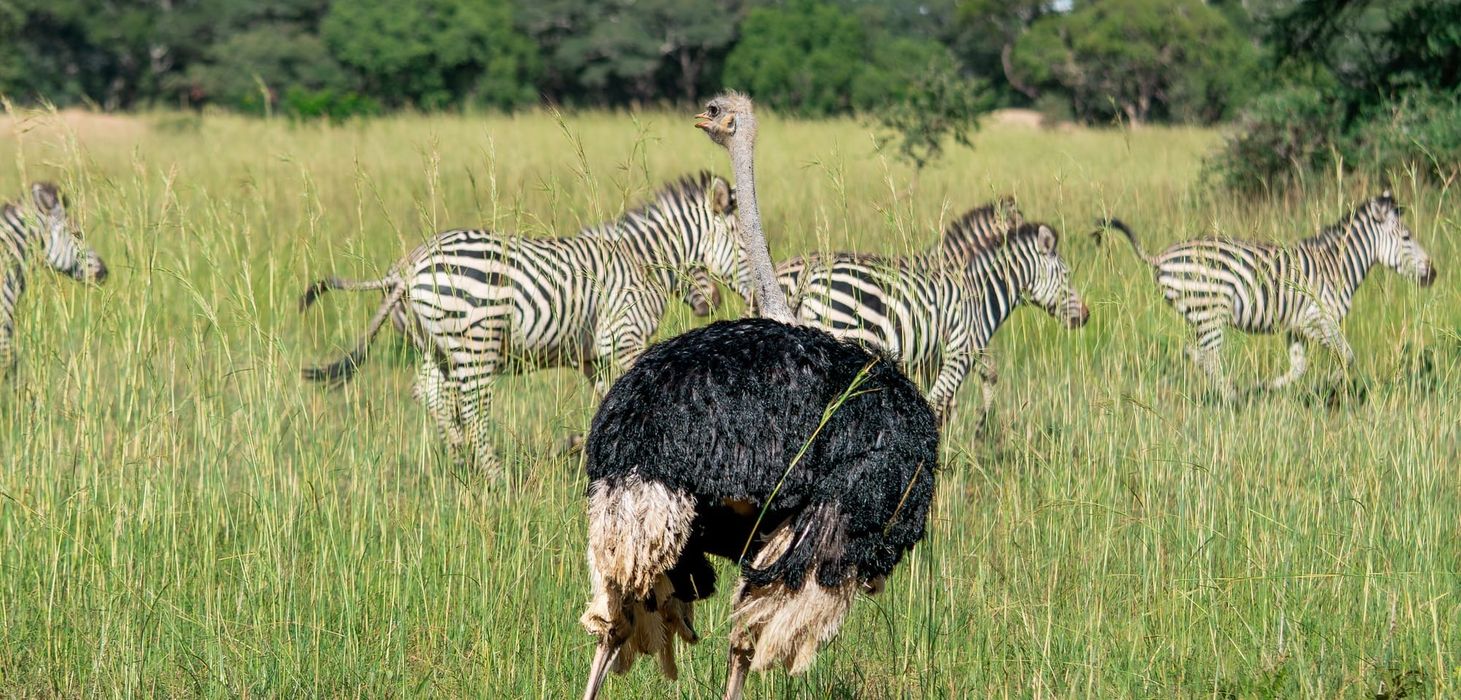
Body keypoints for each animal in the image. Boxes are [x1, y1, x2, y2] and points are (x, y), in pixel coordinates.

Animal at [301, 172, 749, 473]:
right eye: (745, 246)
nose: (710, 303)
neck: (643, 260)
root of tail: (409, 267)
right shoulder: (624, 340)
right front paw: (577, 447)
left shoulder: (592, 357)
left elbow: (607, 404)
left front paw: (583, 447)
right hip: (476, 344)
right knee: (472, 411)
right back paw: (496, 480)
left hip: (435, 346)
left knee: (431, 396)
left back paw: (461, 463)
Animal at [780, 220, 1088, 424]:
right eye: (1066, 275)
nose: (1085, 316)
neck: (980, 292)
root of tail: (809, 275)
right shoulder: (961, 351)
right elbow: (939, 402)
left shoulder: (938, 357)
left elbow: (966, 389)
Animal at [1094, 191, 1436, 400]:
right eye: (1407, 237)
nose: (1433, 273)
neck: (1336, 265)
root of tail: (1161, 256)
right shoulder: (1317, 319)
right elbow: (1347, 356)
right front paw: (1329, 386)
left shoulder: (1297, 327)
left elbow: (1299, 367)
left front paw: (1269, 388)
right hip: (1210, 313)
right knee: (1209, 358)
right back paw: (1231, 399)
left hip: (1199, 316)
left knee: (1196, 354)